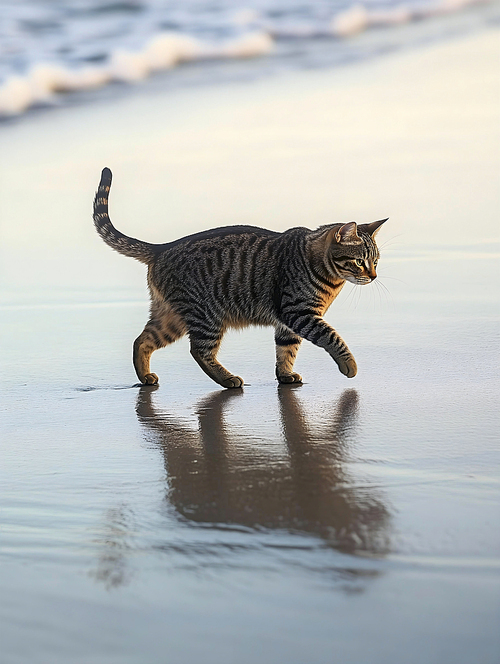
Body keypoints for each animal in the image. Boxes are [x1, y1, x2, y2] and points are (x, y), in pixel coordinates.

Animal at [94, 167, 386, 390]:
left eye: (375, 261)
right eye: (359, 261)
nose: (373, 276)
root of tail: (160, 248)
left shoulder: (288, 323)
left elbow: (286, 350)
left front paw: (285, 375)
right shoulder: (298, 313)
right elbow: (332, 337)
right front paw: (349, 365)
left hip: (170, 318)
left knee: (142, 340)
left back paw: (145, 377)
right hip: (206, 316)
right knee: (198, 351)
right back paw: (227, 379)